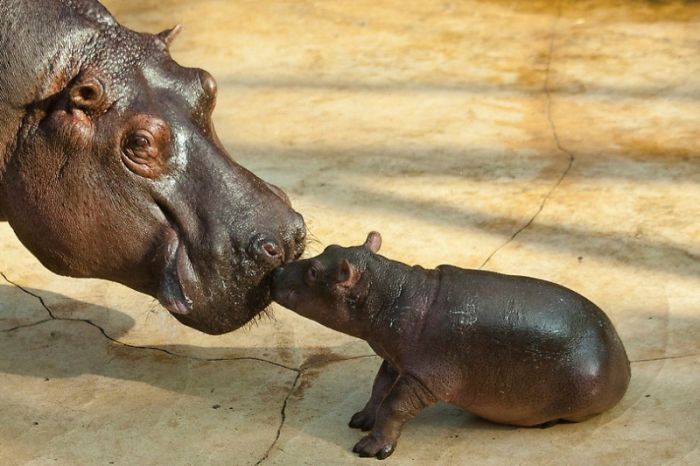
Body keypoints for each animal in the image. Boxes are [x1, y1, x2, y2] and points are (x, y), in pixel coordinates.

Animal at [270, 232, 632, 458]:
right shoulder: (395, 360)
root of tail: (624, 359)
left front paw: (369, 449)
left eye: (314, 271)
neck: (390, 294)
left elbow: (394, 405)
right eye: (328, 247)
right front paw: (361, 419)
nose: (277, 270)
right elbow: (379, 389)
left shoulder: (424, 377)